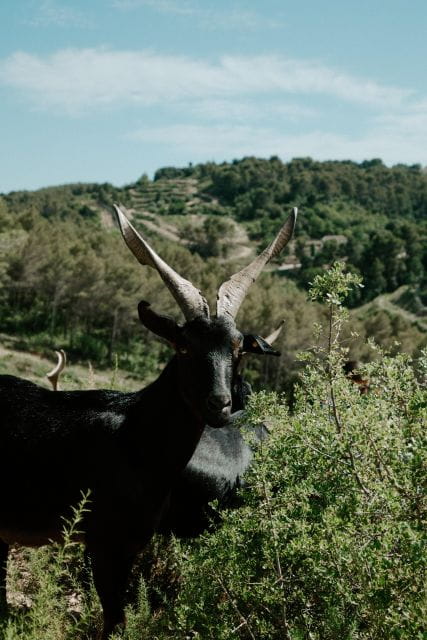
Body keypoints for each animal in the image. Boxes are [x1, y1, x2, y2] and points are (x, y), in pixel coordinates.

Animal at [0, 205, 297, 639]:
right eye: (184, 346)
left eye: (238, 348)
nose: (220, 404)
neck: (135, 437)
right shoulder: (105, 543)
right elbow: (115, 621)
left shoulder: (131, 543)